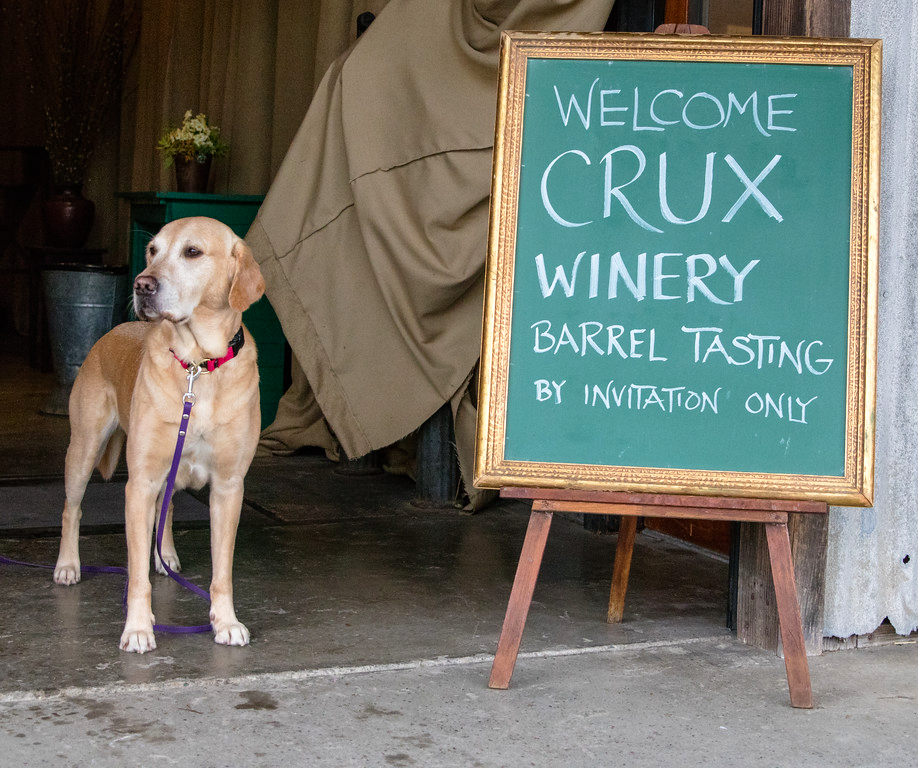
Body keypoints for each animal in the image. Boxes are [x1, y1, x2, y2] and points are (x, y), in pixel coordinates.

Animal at [53, 216, 264, 656]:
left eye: (192, 252)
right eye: (153, 251)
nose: (142, 284)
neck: (198, 366)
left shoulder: (228, 487)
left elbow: (223, 571)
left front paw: (226, 622)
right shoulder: (140, 483)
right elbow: (136, 578)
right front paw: (137, 628)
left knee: (164, 513)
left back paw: (164, 554)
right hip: (83, 450)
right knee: (72, 509)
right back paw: (67, 565)